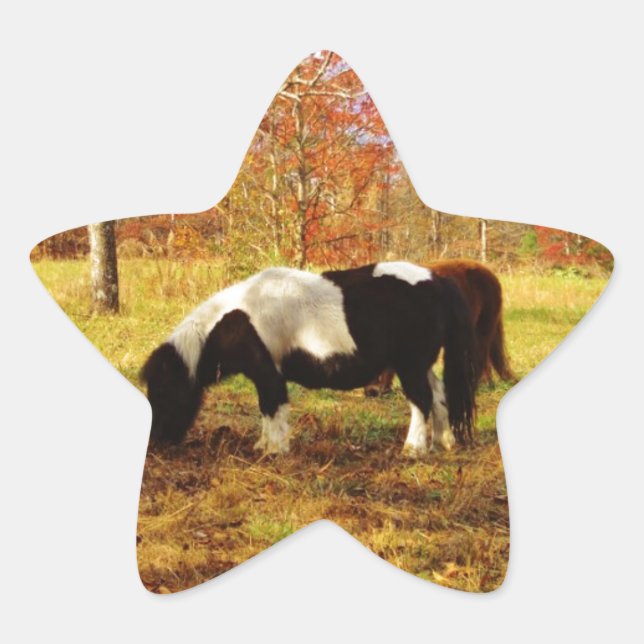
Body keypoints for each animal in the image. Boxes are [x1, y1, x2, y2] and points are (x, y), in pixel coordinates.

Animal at [141, 262, 478, 457]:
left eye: (164, 390)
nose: (156, 442)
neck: (237, 318)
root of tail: (437, 280)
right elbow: (267, 411)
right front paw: (264, 445)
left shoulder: (268, 374)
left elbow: (272, 408)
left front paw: (274, 450)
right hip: (421, 364)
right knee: (439, 395)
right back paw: (443, 441)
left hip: (410, 365)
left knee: (421, 400)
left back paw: (413, 449)